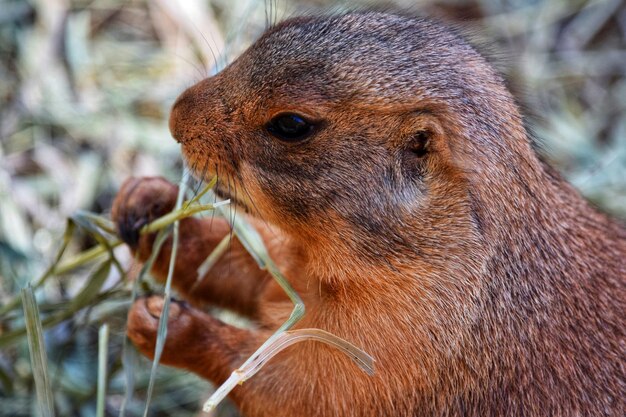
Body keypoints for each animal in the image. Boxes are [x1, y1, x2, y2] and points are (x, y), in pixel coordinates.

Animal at [112, 11, 624, 414]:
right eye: (278, 26)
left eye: (292, 124)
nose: (175, 117)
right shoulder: (299, 276)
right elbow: (248, 265)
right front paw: (148, 205)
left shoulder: (389, 356)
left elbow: (292, 385)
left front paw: (165, 323)